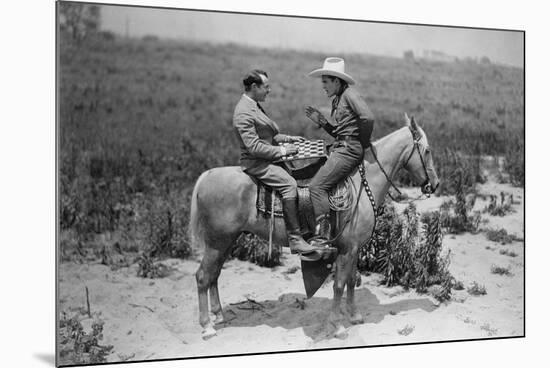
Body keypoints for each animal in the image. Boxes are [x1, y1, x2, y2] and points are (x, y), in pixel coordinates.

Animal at [190, 115, 440, 340]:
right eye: (427, 151)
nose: (435, 184)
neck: (363, 183)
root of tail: (207, 175)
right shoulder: (347, 249)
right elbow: (339, 284)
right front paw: (337, 326)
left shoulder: (354, 248)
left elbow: (351, 280)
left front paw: (354, 316)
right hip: (217, 242)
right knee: (203, 276)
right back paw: (207, 327)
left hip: (226, 241)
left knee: (214, 275)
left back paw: (219, 316)